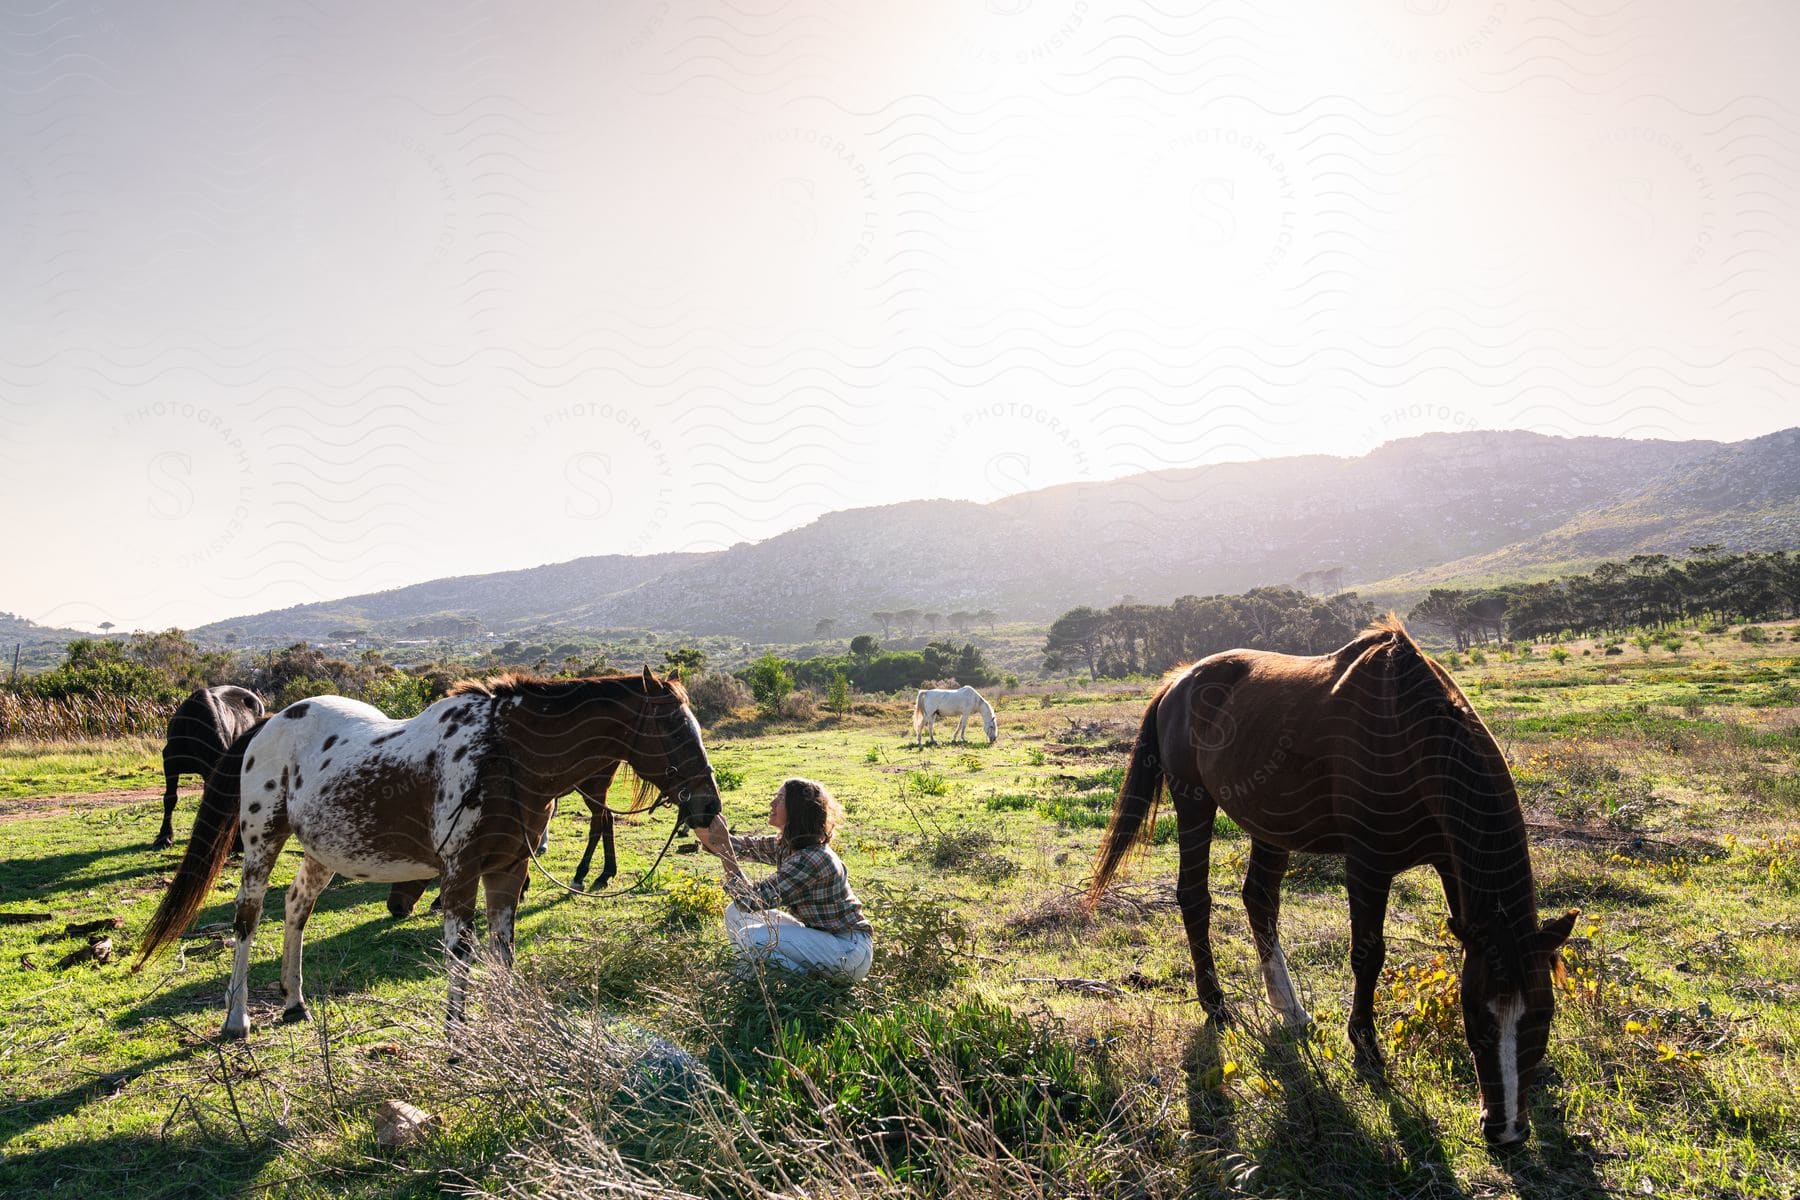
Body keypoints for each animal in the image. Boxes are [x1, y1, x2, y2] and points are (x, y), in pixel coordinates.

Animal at [138, 672, 723, 1036]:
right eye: (673, 729)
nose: (707, 805)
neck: (503, 756)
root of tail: (271, 722)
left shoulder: (506, 873)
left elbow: (503, 952)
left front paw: (508, 1028)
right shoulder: (460, 875)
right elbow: (461, 956)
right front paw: (456, 1042)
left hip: (323, 853)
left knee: (296, 909)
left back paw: (294, 1000)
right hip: (262, 840)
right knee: (248, 917)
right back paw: (236, 1019)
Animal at [1080, 615, 1576, 1151]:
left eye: (1543, 1015)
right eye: (1477, 1015)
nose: (1505, 1129)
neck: (1412, 735)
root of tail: (1178, 682)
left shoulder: (1449, 862)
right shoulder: (1367, 865)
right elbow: (1367, 954)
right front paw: (1366, 1051)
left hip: (1269, 823)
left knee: (1259, 898)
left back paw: (1288, 1007)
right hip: (1194, 805)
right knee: (1195, 897)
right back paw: (1216, 1004)